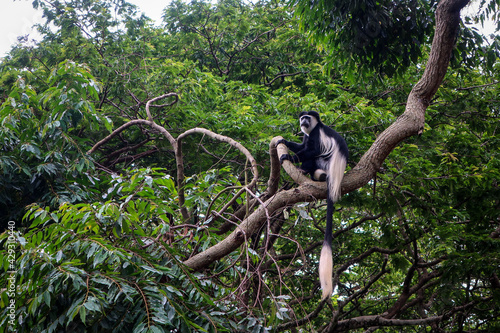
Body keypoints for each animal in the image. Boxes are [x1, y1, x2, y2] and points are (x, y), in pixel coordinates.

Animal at [278, 110, 348, 300]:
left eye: (307, 118)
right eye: (302, 118)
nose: (303, 121)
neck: (314, 127)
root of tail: (335, 176)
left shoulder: (316, 134)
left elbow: (312, 150)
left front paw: (289, 156)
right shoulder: (306, 135)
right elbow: (301, 145)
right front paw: (284, 142)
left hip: (324, 163)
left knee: (315, 157)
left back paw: (304, 170)